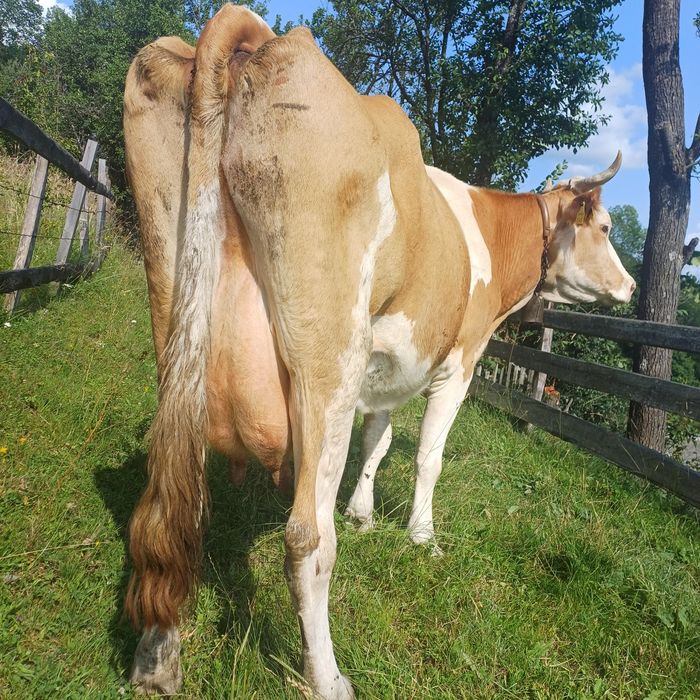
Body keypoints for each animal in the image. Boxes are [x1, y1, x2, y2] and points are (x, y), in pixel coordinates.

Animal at [123, 6, 635, 698]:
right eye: (605, 228)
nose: (631, 287)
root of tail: (255, 35)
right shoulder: (458, 363)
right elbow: (427, 456)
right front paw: (420, 534)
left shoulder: (387, 366)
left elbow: (379, 439)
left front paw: (364, 511)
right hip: (326, 359)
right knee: (306, 539)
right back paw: (328, 676)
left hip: (175, 314)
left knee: (172, 503)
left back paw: (157, 655)